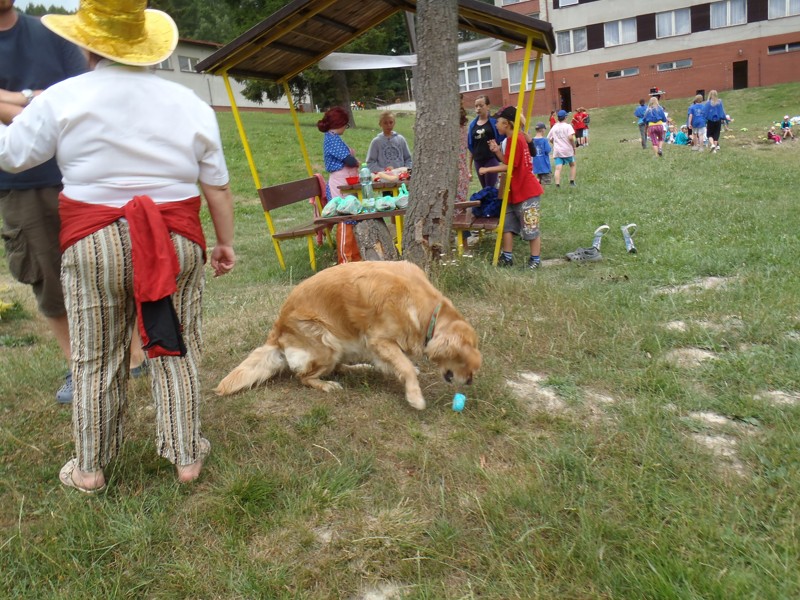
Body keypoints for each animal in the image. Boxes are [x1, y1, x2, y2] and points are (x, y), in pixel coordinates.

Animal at [212, 260, 484, 410]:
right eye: (465, 363)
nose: (470, 382)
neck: (427, 311)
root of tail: (278, 331)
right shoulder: (379, 340)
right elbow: (405, 365)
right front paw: (415, 397)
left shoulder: (377, 344)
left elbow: (400, 364)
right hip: (326, 342)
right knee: (303, 377)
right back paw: (327, 385)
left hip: (342, 344)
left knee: (340, 367)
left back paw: (361, 367)